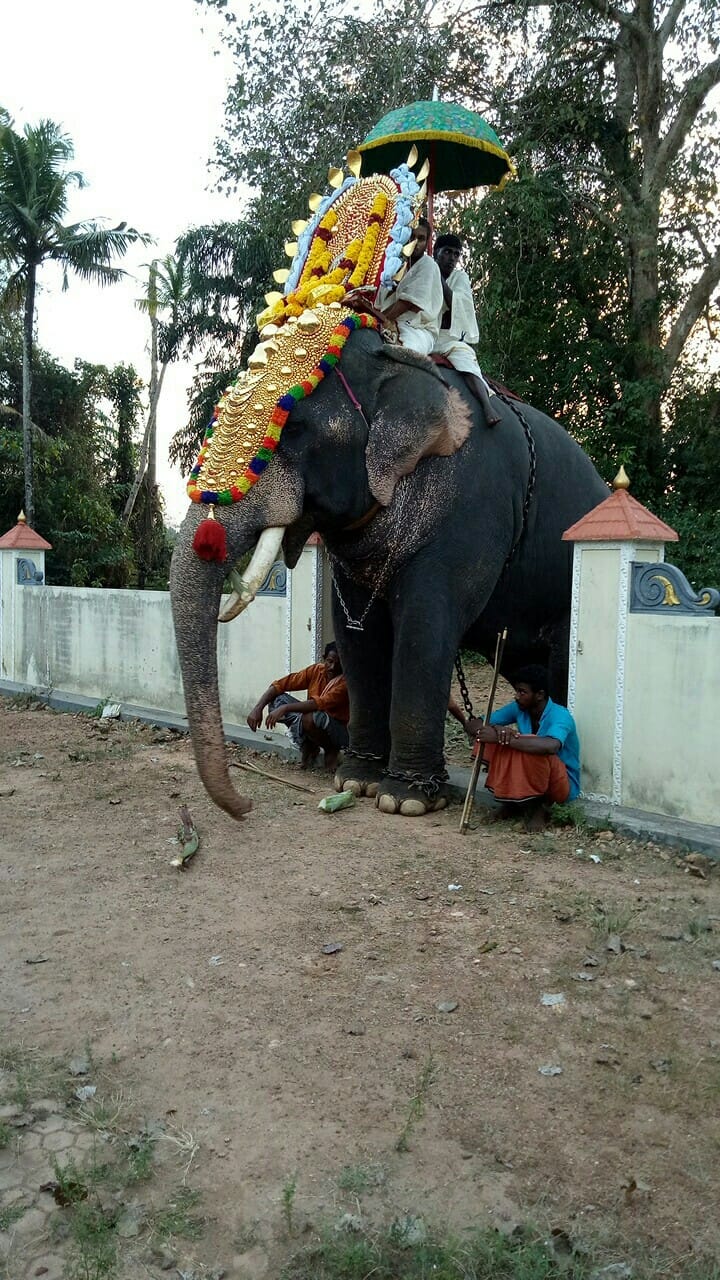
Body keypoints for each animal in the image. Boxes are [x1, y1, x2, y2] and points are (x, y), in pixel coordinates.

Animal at [167, 318, 604, 819]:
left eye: (292, 427)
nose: (246, 805)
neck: (391, 363)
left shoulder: (473, 507)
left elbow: (426, 626)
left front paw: (404, 799)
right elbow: (357, 634)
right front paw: (356, 782)